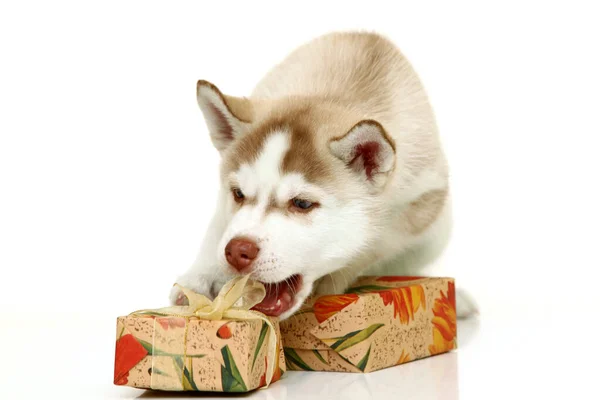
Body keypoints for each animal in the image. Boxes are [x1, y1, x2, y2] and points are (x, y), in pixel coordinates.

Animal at [171, 32, 458, 318]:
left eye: (302, 203)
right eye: (238, 194)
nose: (238, 250)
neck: (332, 95)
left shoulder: (420, 202)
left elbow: (374, 247)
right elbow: (219, 226)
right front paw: (200, 280)